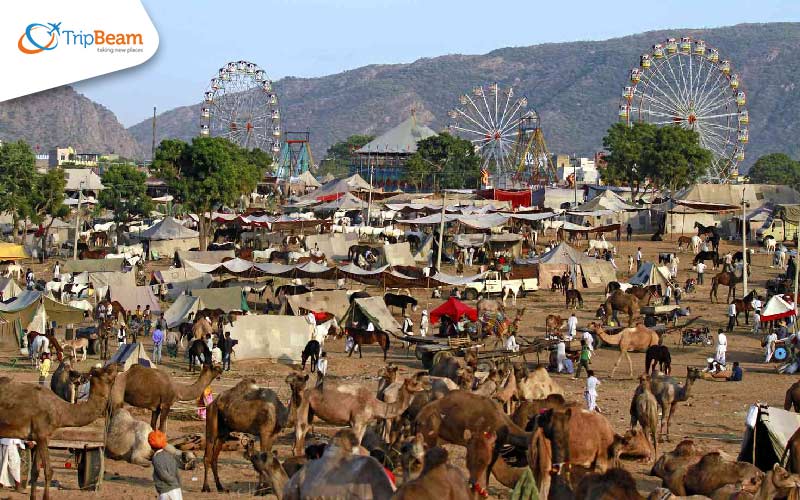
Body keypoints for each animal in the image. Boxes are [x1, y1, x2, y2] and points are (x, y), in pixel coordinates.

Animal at [0, 364, 119, 500]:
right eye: (108, 370)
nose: (118, 364)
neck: (60, 411)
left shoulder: (40, 437)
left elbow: (35, 471)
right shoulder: (42, 434)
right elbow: (48, 471)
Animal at [294, 372, 432, 458]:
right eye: (415, 383)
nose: (428, 386)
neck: (375, 405)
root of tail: (305, 392)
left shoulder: (364, 424)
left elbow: (359, 443)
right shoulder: (357, 422)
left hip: (310, 411)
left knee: (304, 431)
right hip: (304, 404)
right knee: (301, 429)